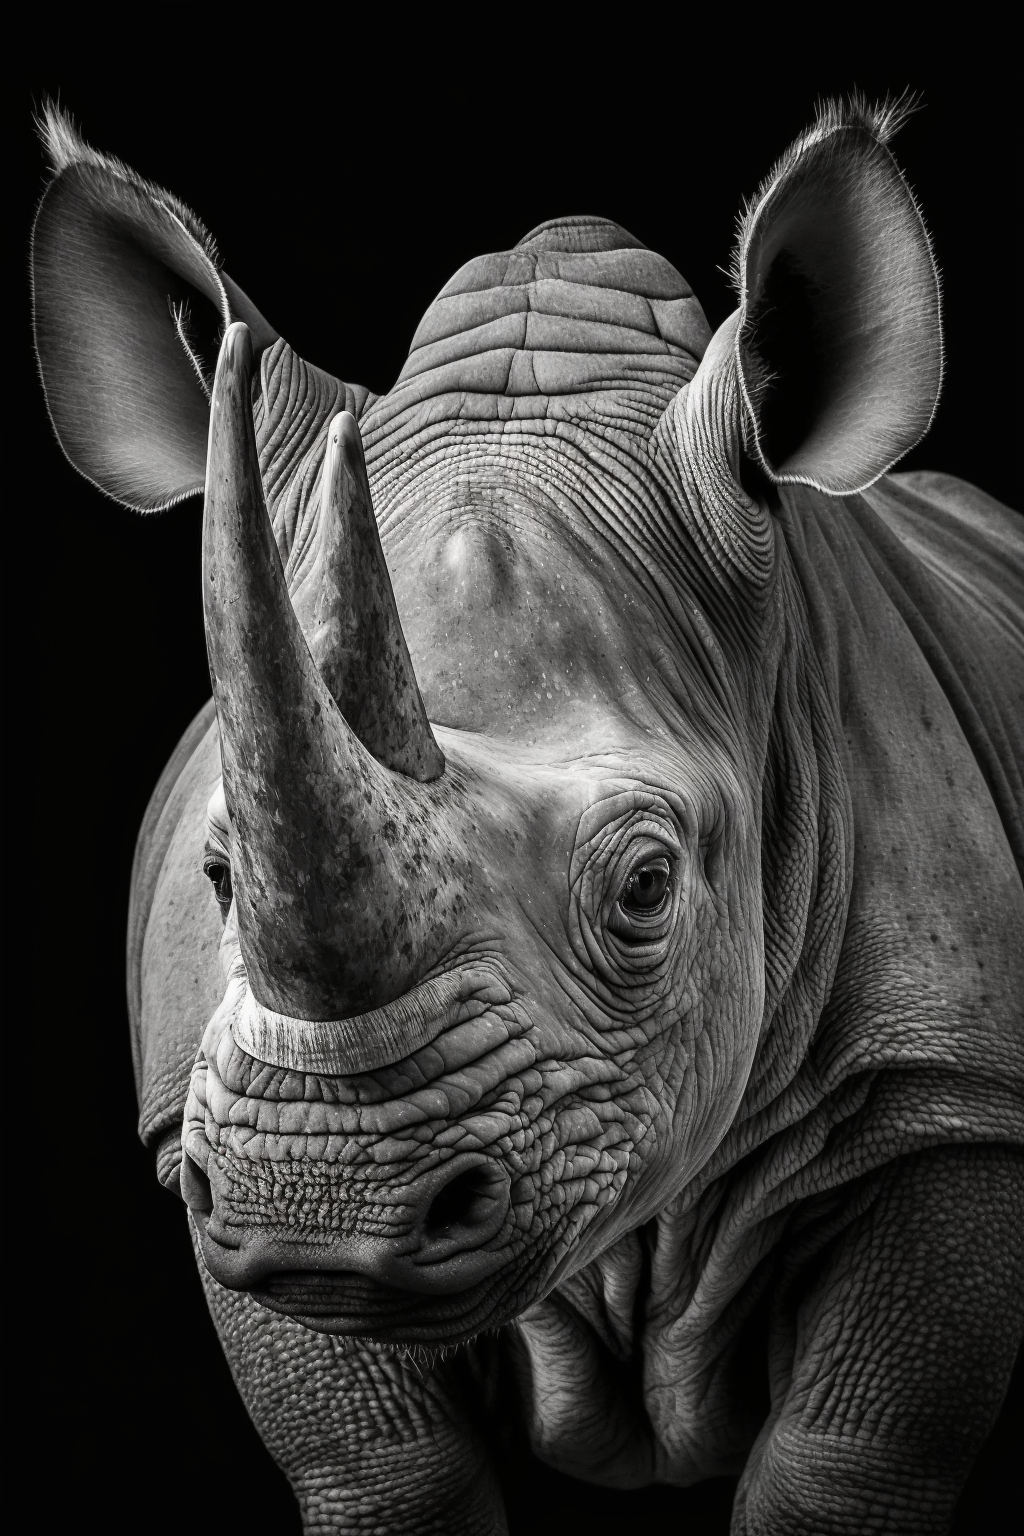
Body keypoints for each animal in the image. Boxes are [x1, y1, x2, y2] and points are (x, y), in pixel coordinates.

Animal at [33, 97, 1022, 1534]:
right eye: (220, 876)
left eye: (647, 887)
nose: (324, 1208)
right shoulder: (196, 1140)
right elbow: (386, 1469)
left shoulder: (949, 1094)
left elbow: (846, 1465)